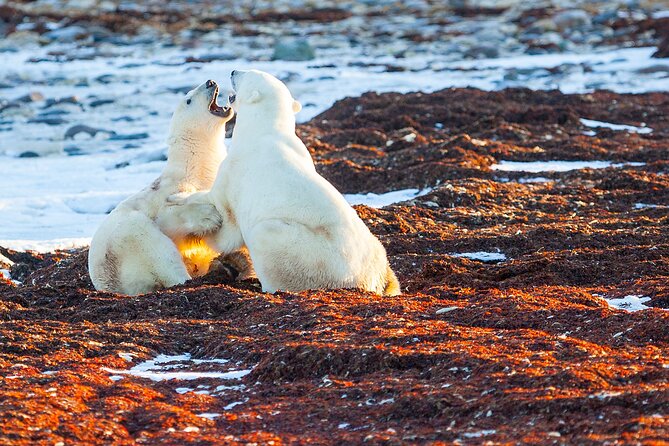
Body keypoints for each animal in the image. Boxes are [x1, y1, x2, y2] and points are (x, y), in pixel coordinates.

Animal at [88, 80, 235, 296]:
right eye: (189, 99)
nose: (210, 82)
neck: (196, 166)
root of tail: (107, 284)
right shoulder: (165, 192)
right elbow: (168, 217)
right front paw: (209, 216)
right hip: (125, 243)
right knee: (158, 250)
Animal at [174, 69, 402, 296]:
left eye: (248, 73)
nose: (233, 71)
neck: (264, 131)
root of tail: (370, 280)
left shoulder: (236, 172)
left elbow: (227, 227)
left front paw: (182, 198)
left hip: (306, 254)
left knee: (265, 238)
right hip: (376, 251)